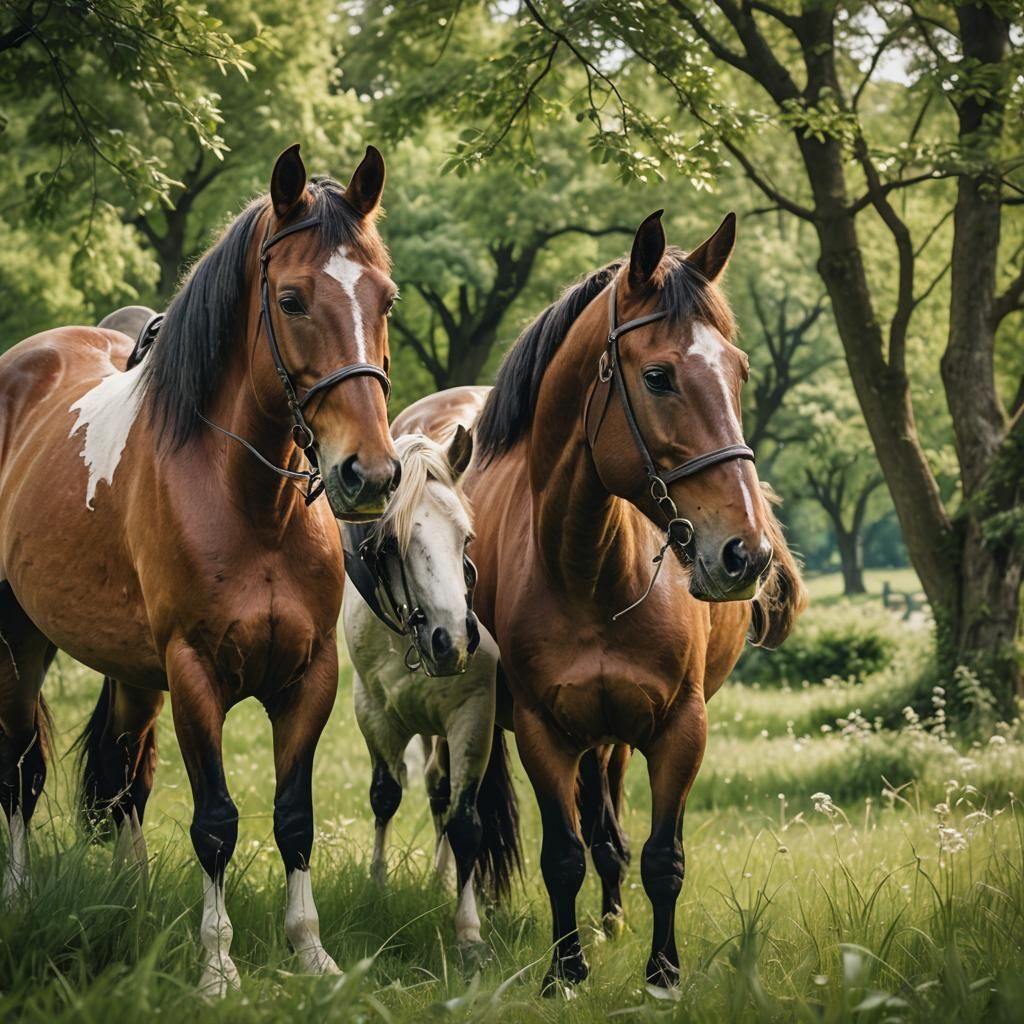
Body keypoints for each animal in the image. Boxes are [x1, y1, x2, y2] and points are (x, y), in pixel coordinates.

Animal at [0, 143, 401, 995]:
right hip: (18, 645)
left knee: (125, 781)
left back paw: (133, 898)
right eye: (291, 298)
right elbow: (216, 822)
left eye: (383, 298)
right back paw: (18, 895)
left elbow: (294, 817)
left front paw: (311, 954)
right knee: (20, 773)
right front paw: (217, 965)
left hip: (129, 672)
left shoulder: (309, 676)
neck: (249, 503)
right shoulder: (194, 673)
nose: (370, 476)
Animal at [341, 426, 519, 964]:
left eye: (466, 537)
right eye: (391, 543)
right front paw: (376, 890)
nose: (453, 640)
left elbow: (465, 823)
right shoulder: (373, 712)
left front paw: (468, 931)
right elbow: (385, 797)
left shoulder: (472, 717)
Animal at [390, 210, 807, 994]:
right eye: (658, 376)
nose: (747, 554)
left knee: (608, 818)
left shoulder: (680, 729)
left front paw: (662, 974)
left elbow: (661, 857)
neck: (590, 576)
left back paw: (613, 915)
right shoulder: (545, 732)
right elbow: (561, 854)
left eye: (739, 372)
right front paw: (566, 970)